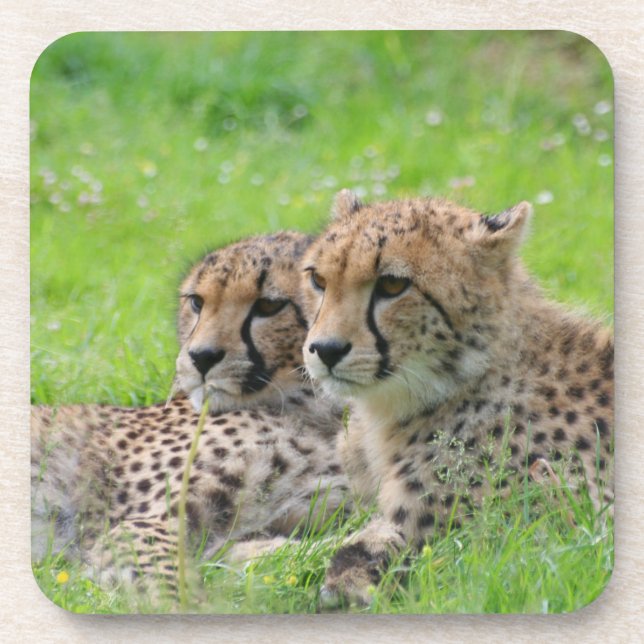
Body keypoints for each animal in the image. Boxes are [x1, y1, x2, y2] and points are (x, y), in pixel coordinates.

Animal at [31, 231, 349, 603]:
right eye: (197, 302)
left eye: (270, 306)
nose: (201, 357)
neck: (314, 408)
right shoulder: (143, 524)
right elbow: (173, 587)